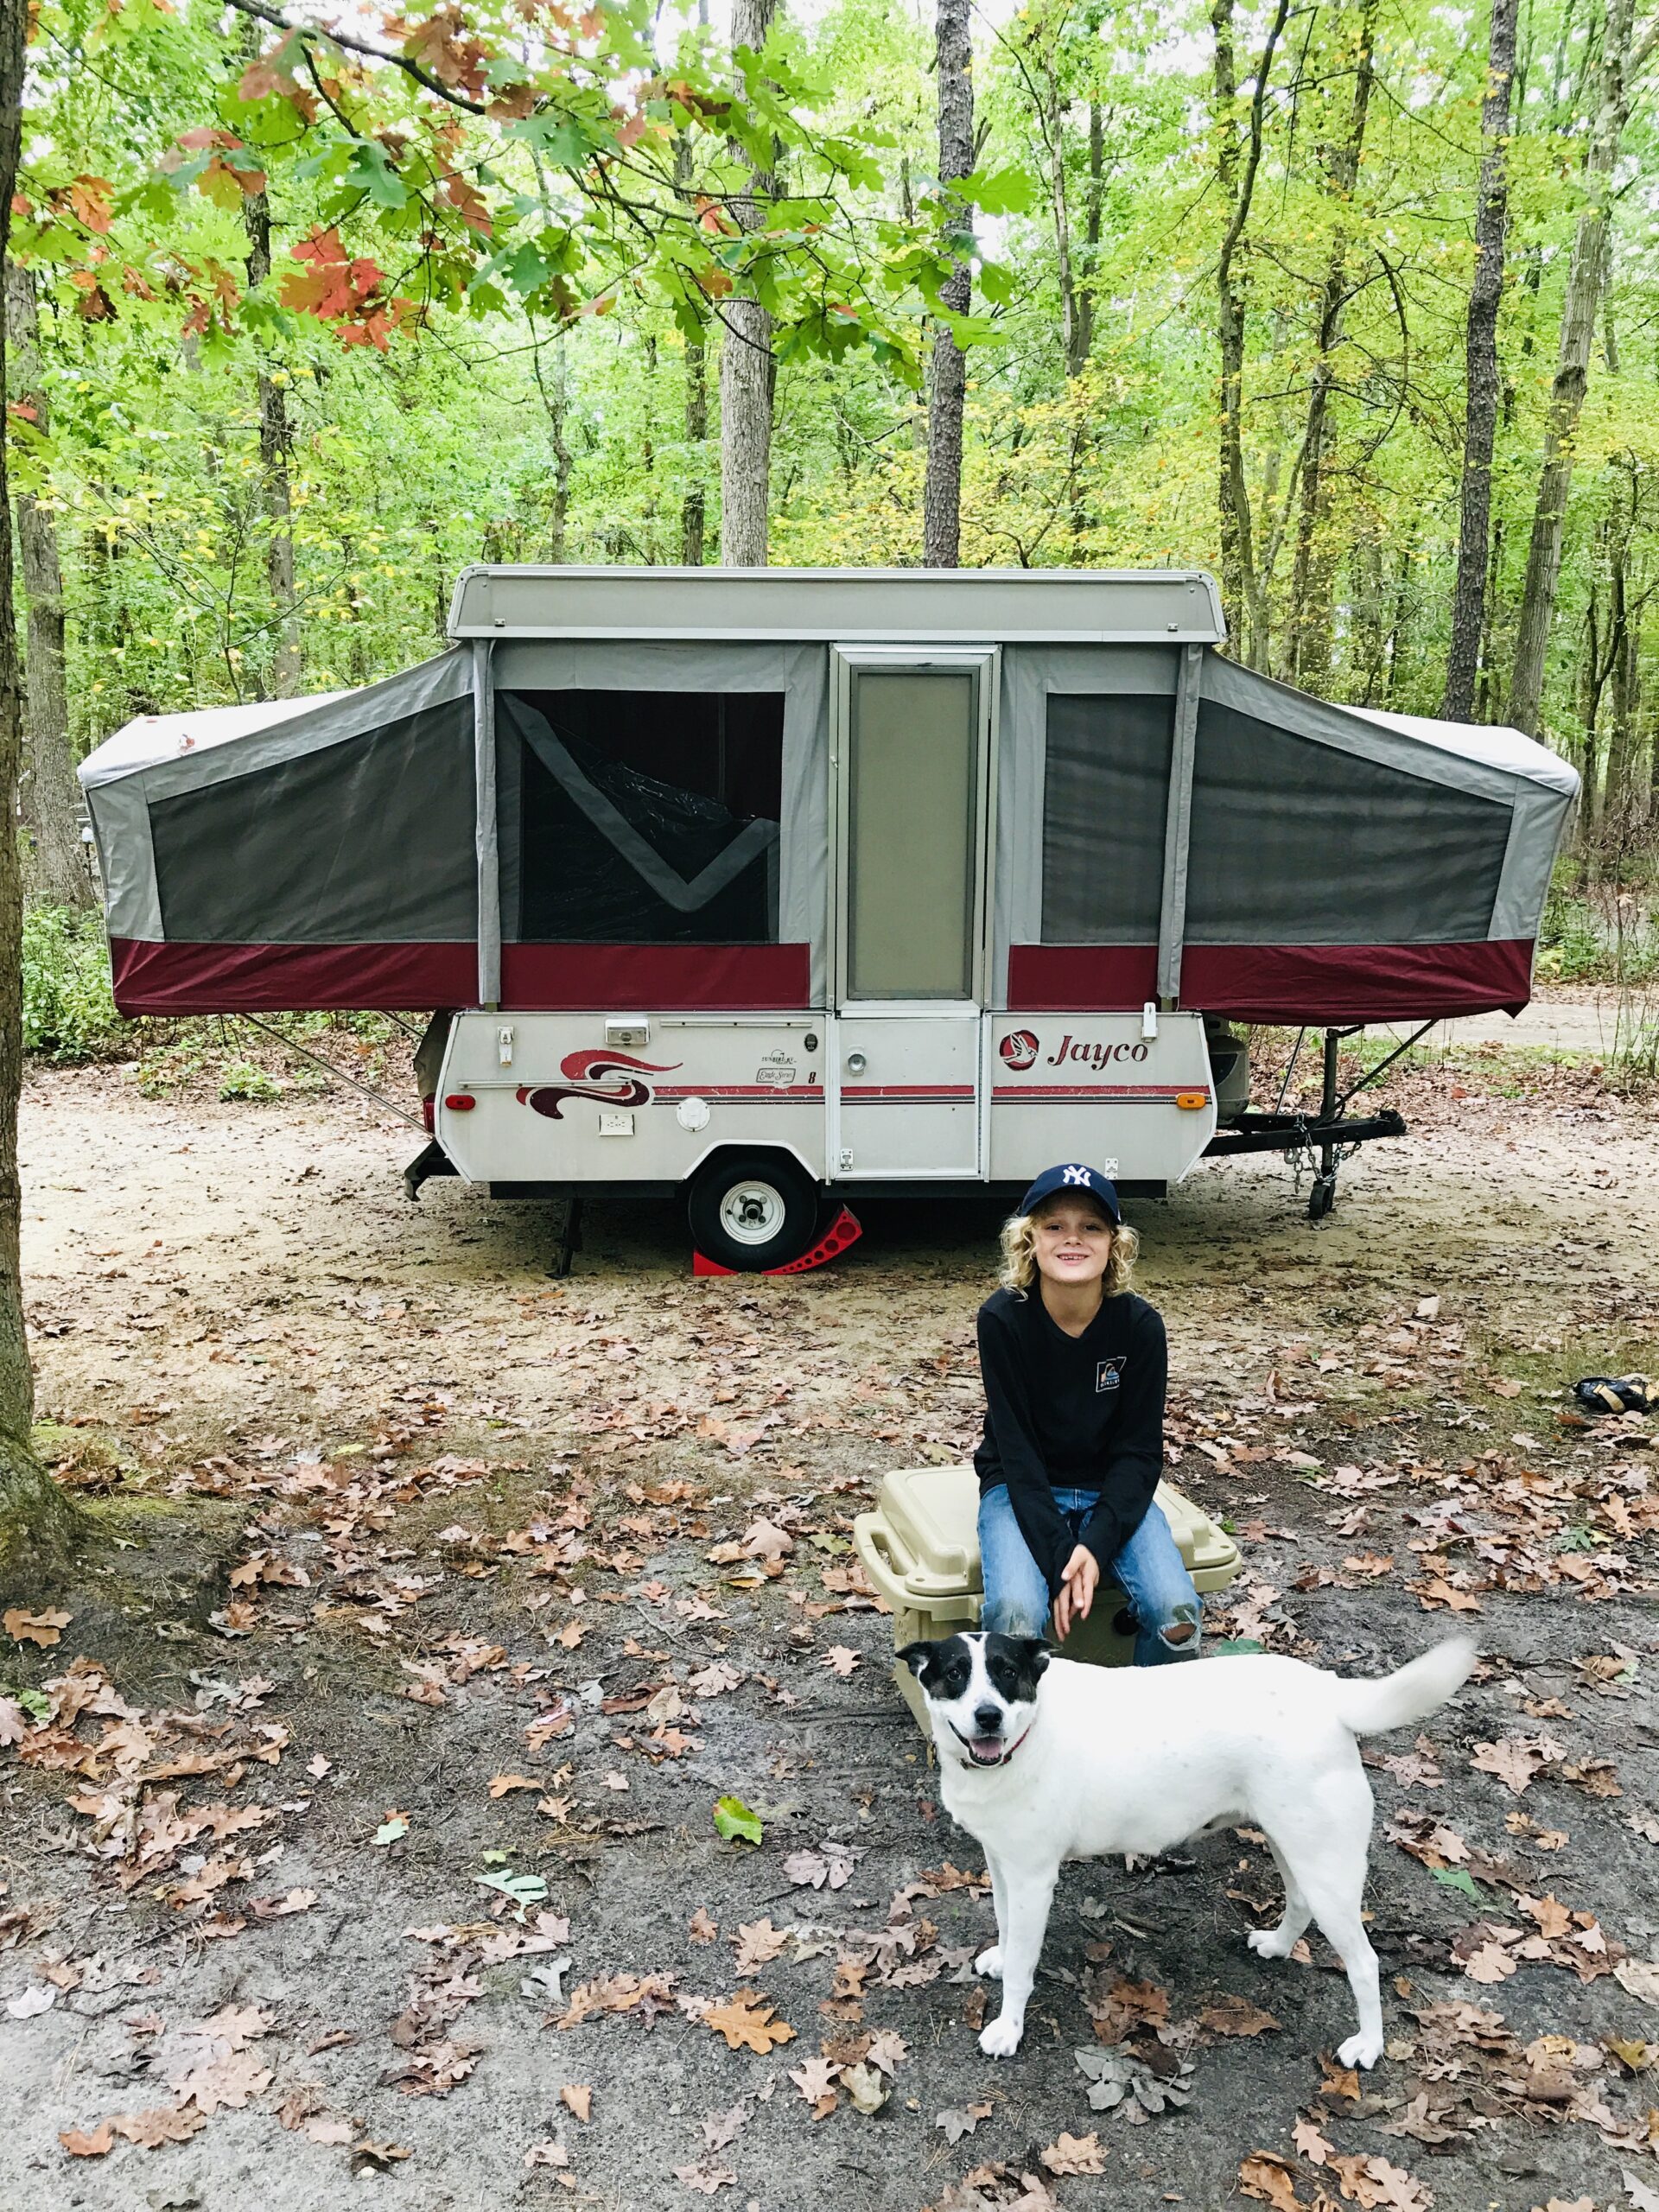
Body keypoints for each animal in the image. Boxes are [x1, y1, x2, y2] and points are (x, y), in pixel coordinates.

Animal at [902, 1628, 1478, 2070]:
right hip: (1294, 1844)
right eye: (955, 1674)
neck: (1026, 1735)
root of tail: (1327, 1691)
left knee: (1365, 1962)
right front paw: (1000, 1958)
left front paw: (1008, 2028)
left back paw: (1369, 2046)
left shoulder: (1032, 1878)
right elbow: (1004, 1927)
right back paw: (1278, 1946)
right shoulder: (1002, 1864)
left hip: (1326, 1866)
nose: (988, 1717)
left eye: (1006, 1673)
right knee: (1301, 1902)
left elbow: (1024, 1964)